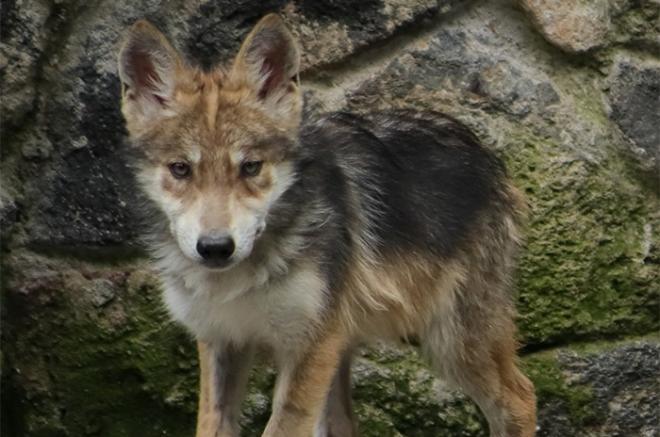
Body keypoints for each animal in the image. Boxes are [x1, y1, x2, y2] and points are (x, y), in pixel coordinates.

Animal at [117, 13, 536, 436]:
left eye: (250, 167)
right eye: (180, 169)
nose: (216, 247)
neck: (237, 282)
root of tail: (485, 153)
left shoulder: (309, 347)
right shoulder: (222, 340)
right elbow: (211, 424)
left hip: (451, 342)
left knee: (521, 398)